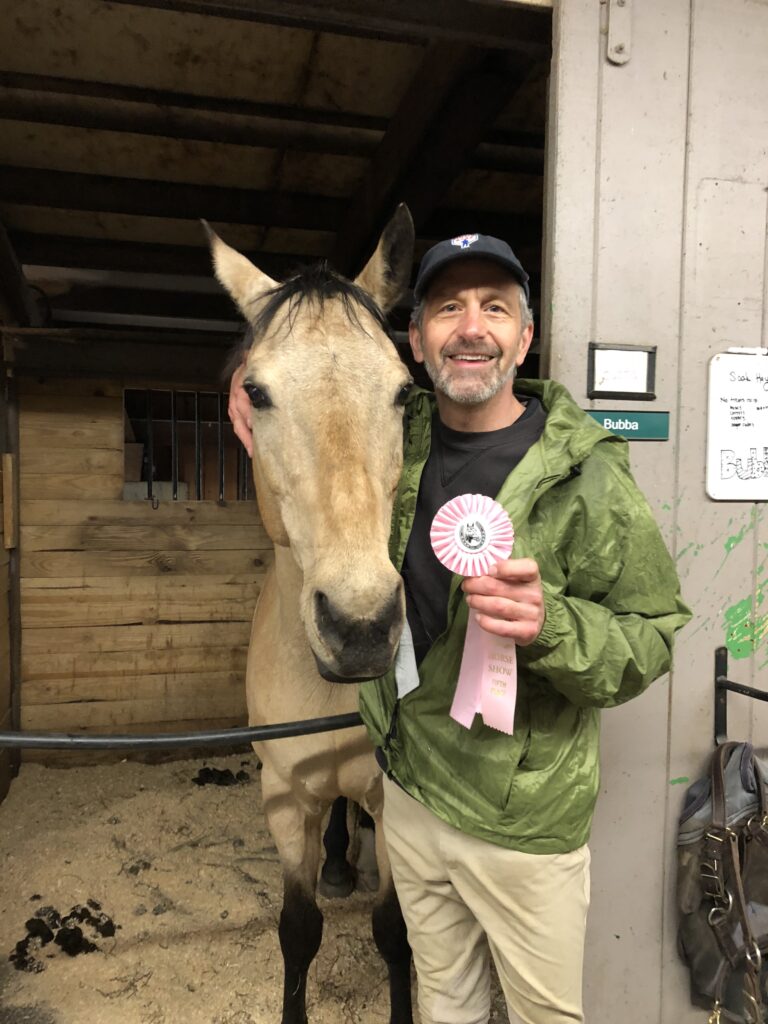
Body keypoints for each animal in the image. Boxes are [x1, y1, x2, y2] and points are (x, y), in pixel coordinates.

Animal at [205, 207, 415, 1024]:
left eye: (402, 392)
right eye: (256, 392)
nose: (360, 626)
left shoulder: (393, 802)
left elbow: (395, 934)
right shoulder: (283, 796)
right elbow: (298, 929)